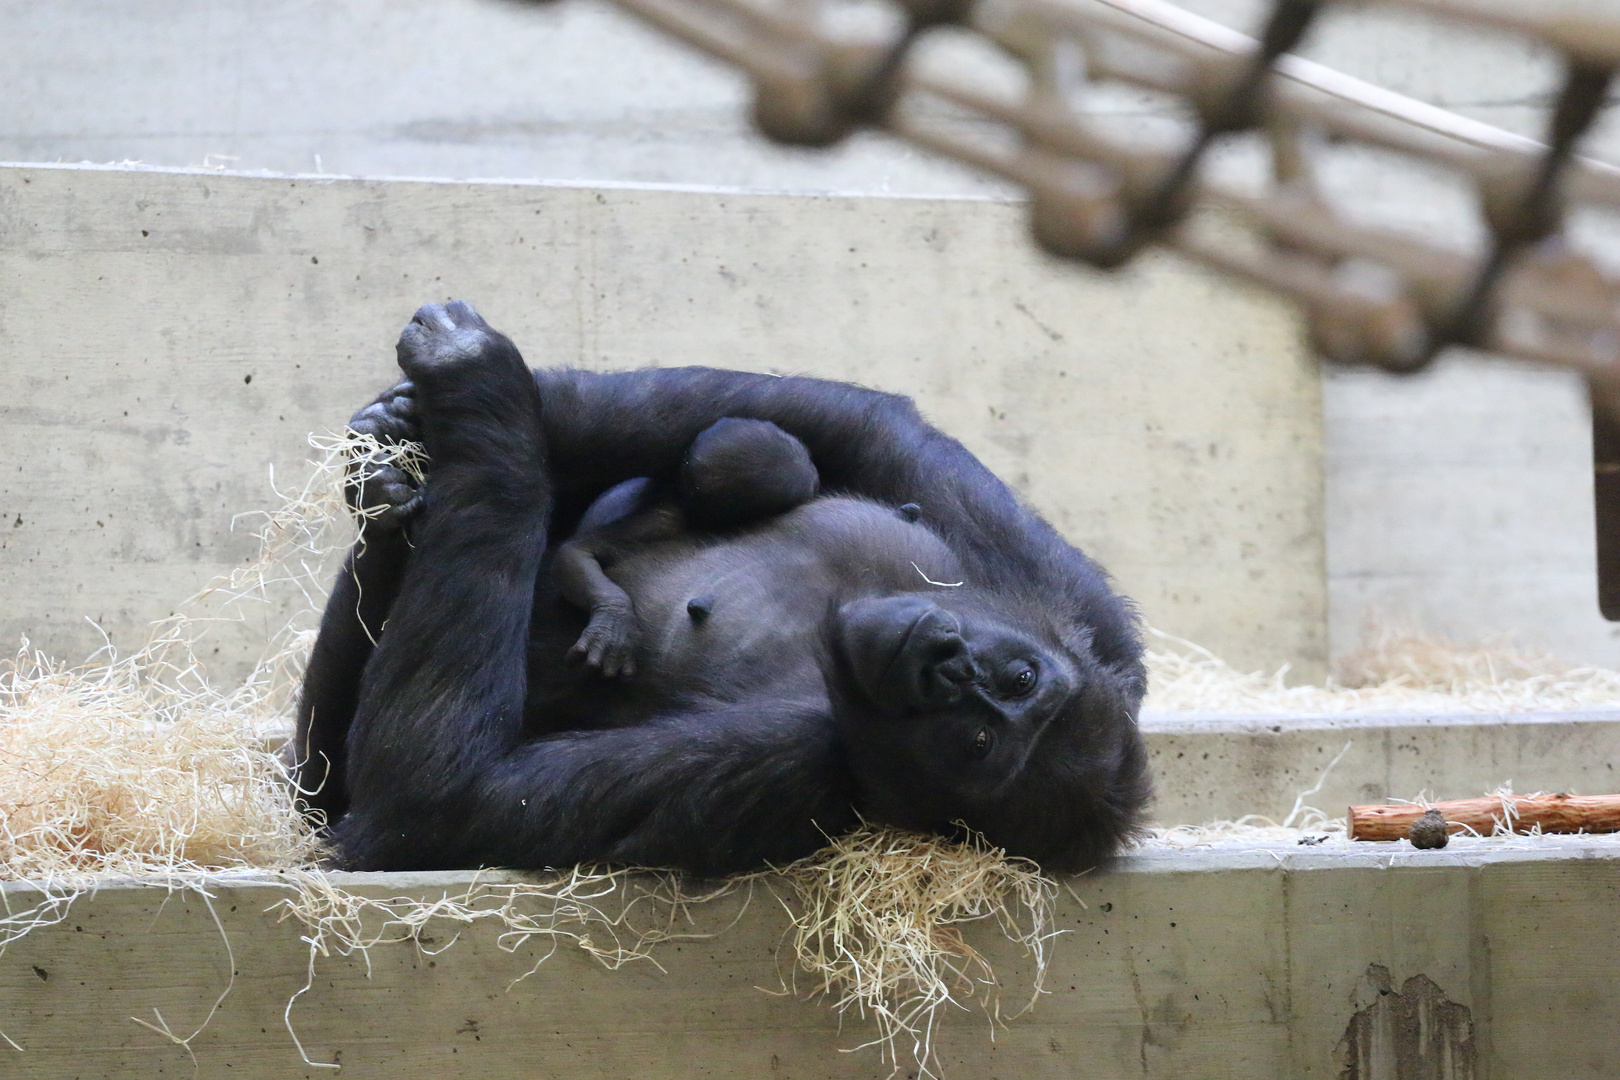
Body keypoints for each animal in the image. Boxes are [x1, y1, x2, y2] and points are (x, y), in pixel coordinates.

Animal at [294, 299, 1153, 874]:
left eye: (977, 742)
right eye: (1020, 675)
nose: (946, 666)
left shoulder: (792, 769)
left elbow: (444, 802)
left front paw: (477, 376)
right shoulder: (1040, 585)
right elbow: (868, 432)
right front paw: (485, 396)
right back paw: (391, 491)